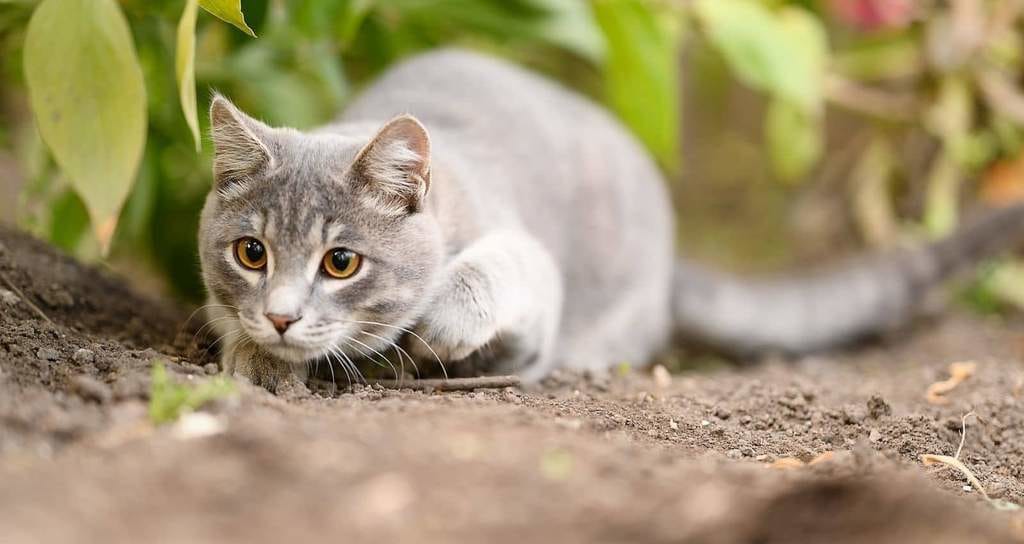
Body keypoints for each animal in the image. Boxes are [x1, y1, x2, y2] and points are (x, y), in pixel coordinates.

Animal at [197, 48, 1024, 391]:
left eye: (341, 262)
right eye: (251, 253)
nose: (280, 316)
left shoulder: (526, 262)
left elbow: (498, 271)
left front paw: (440, 327)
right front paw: (257, 355)